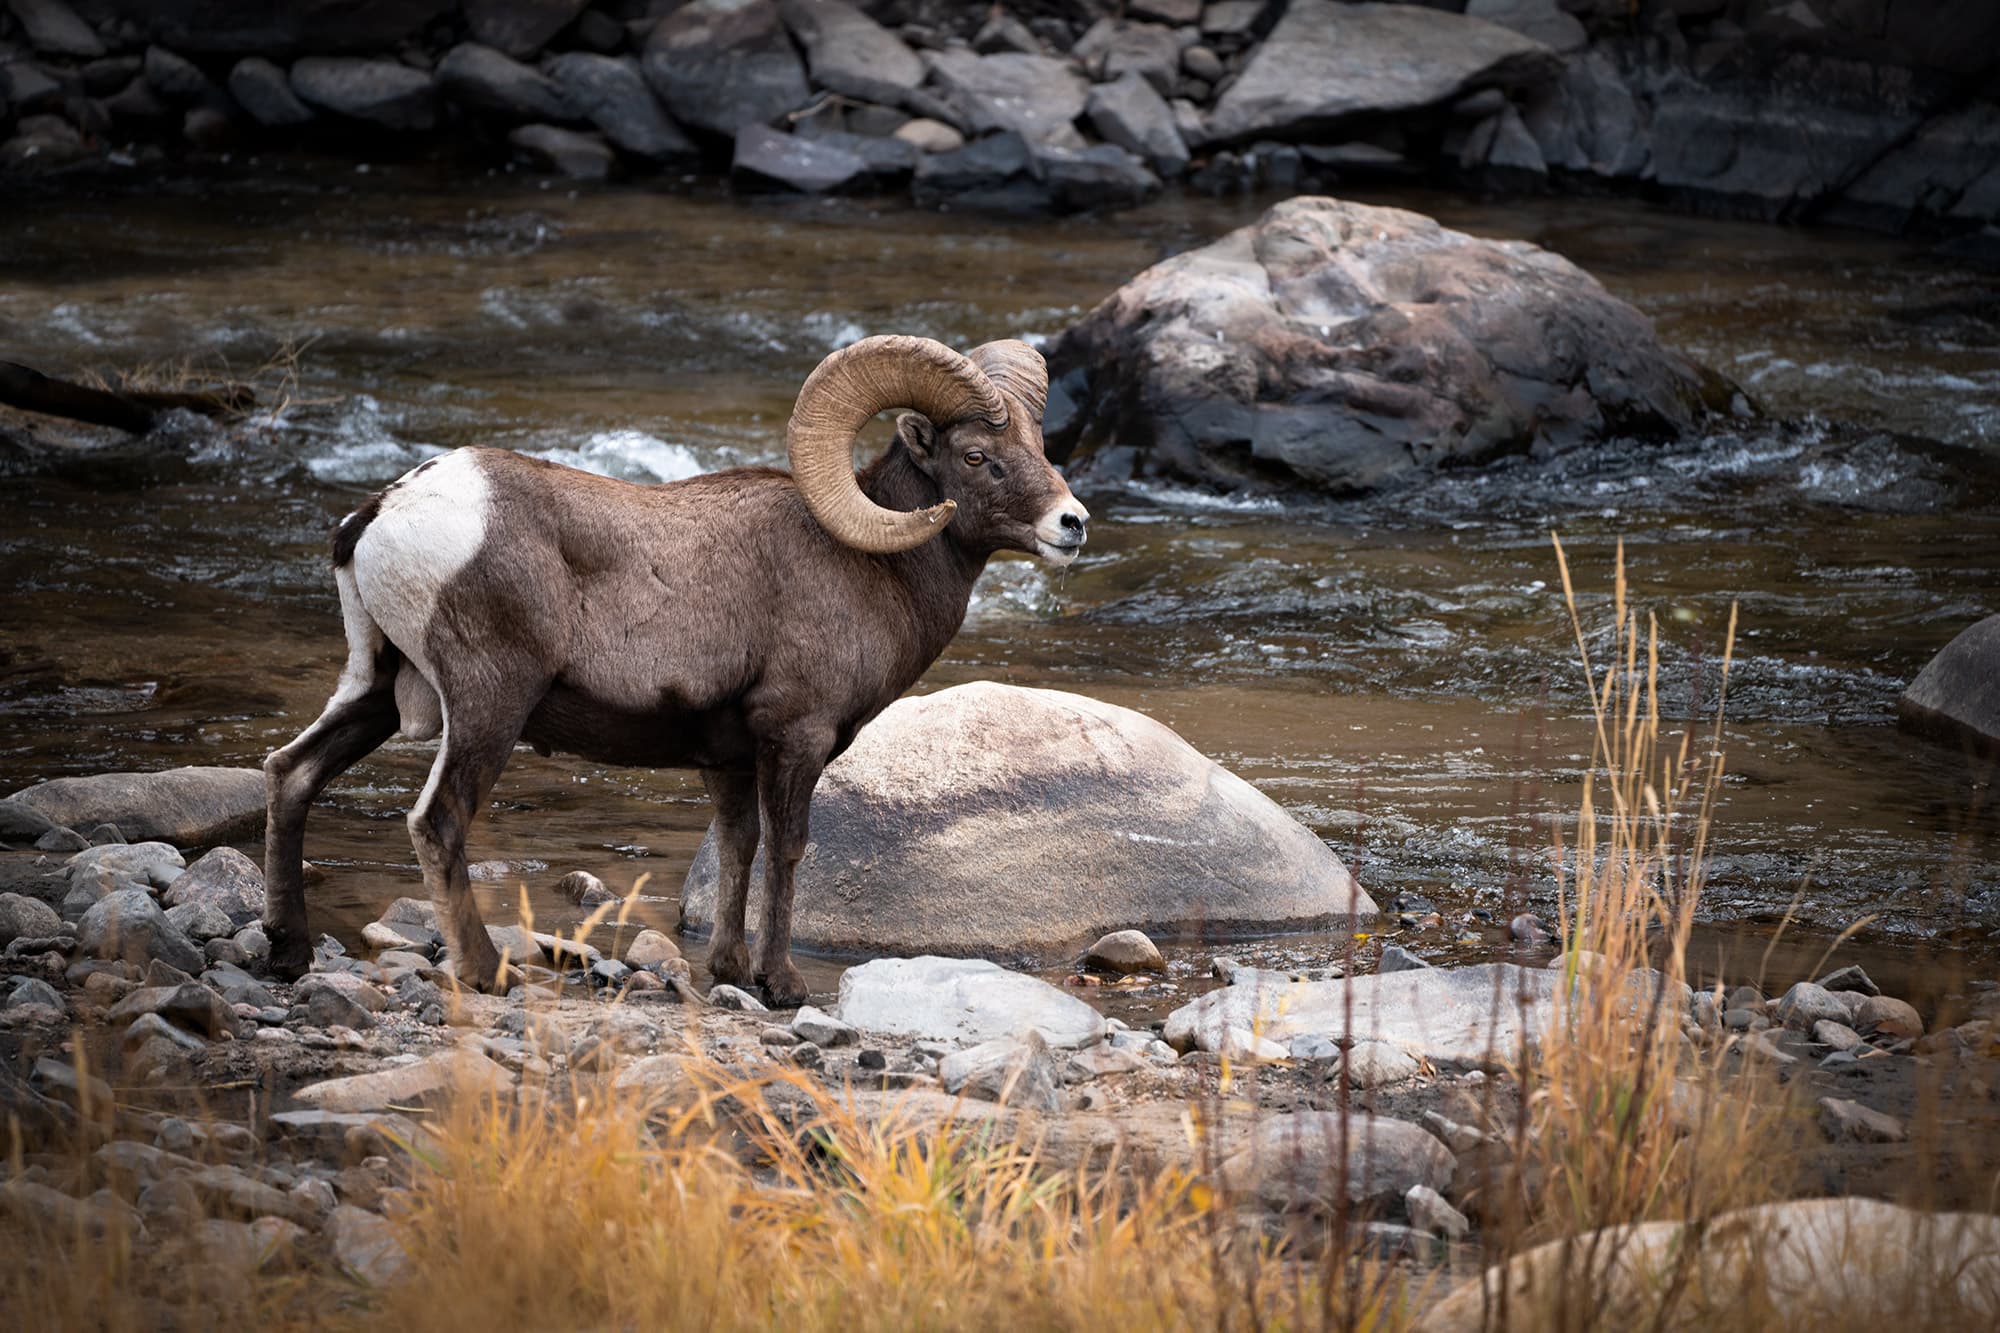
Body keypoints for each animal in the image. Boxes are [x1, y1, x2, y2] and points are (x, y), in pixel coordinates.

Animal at [262, 335, 1089, 1005]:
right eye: (976, 456)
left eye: (1042, 446)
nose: (1071, 523)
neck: (872, 569)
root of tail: (382, 512)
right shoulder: (797, 737)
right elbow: (787, 849)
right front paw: (782, 983)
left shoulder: (730, 759)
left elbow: (737, 847)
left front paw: (729, 971)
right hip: (487, 708)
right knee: (437, 821)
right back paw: (485, 970)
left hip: (374, 690)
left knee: (291, 772)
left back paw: (289, 951)